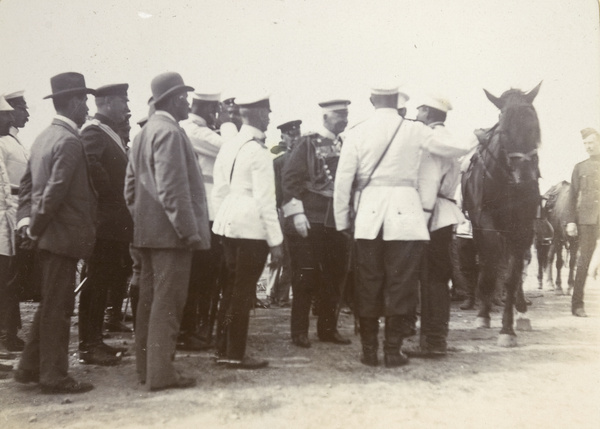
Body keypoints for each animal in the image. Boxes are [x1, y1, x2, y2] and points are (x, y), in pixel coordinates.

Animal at [462, 82, 540, 346]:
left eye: (534, 125)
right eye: (504, 130)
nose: (525, 175)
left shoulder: (524, 227)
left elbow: (513, 274)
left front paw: (508, 329)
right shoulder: (484, 221)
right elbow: (490, 264)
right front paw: (484, 315)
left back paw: (521, 310)